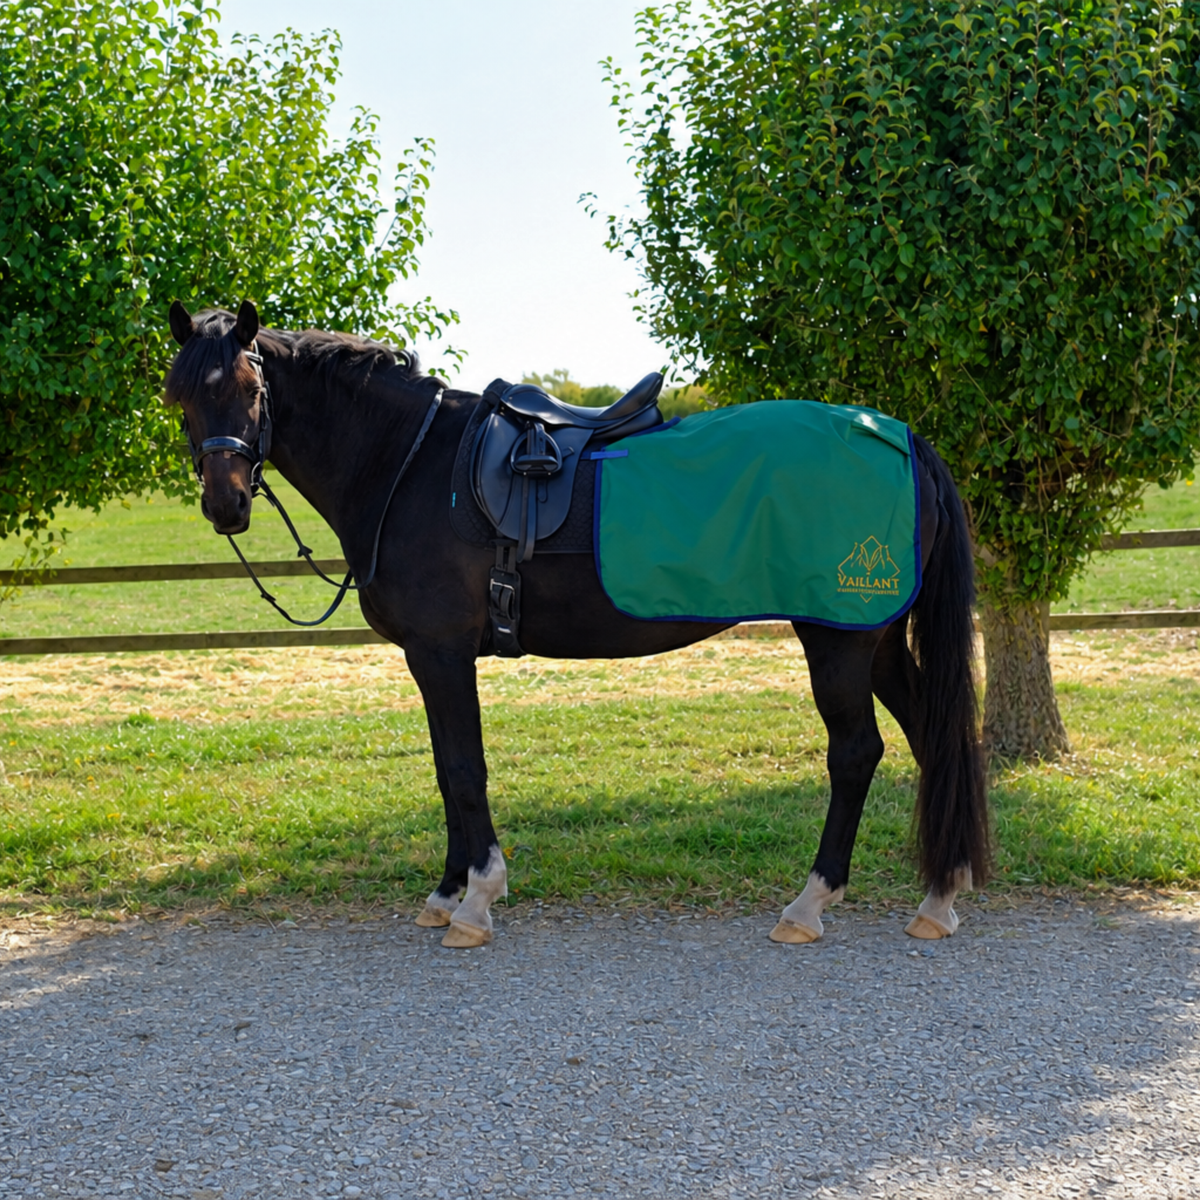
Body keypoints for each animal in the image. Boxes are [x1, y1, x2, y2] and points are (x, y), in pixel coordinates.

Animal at [165, 299, 989, 949]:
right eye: (180, 397)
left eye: (249, 388)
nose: (226, 505)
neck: (407, 463)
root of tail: (899, 435)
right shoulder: (429, 659)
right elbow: (444, 771)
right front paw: (446, 893)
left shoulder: (441, 653)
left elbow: (464, 769)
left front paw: (477, 899)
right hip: (876, 638)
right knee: (930, 733)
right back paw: (939, 896)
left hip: (838, 636)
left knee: (855, 754)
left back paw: (810, 902)